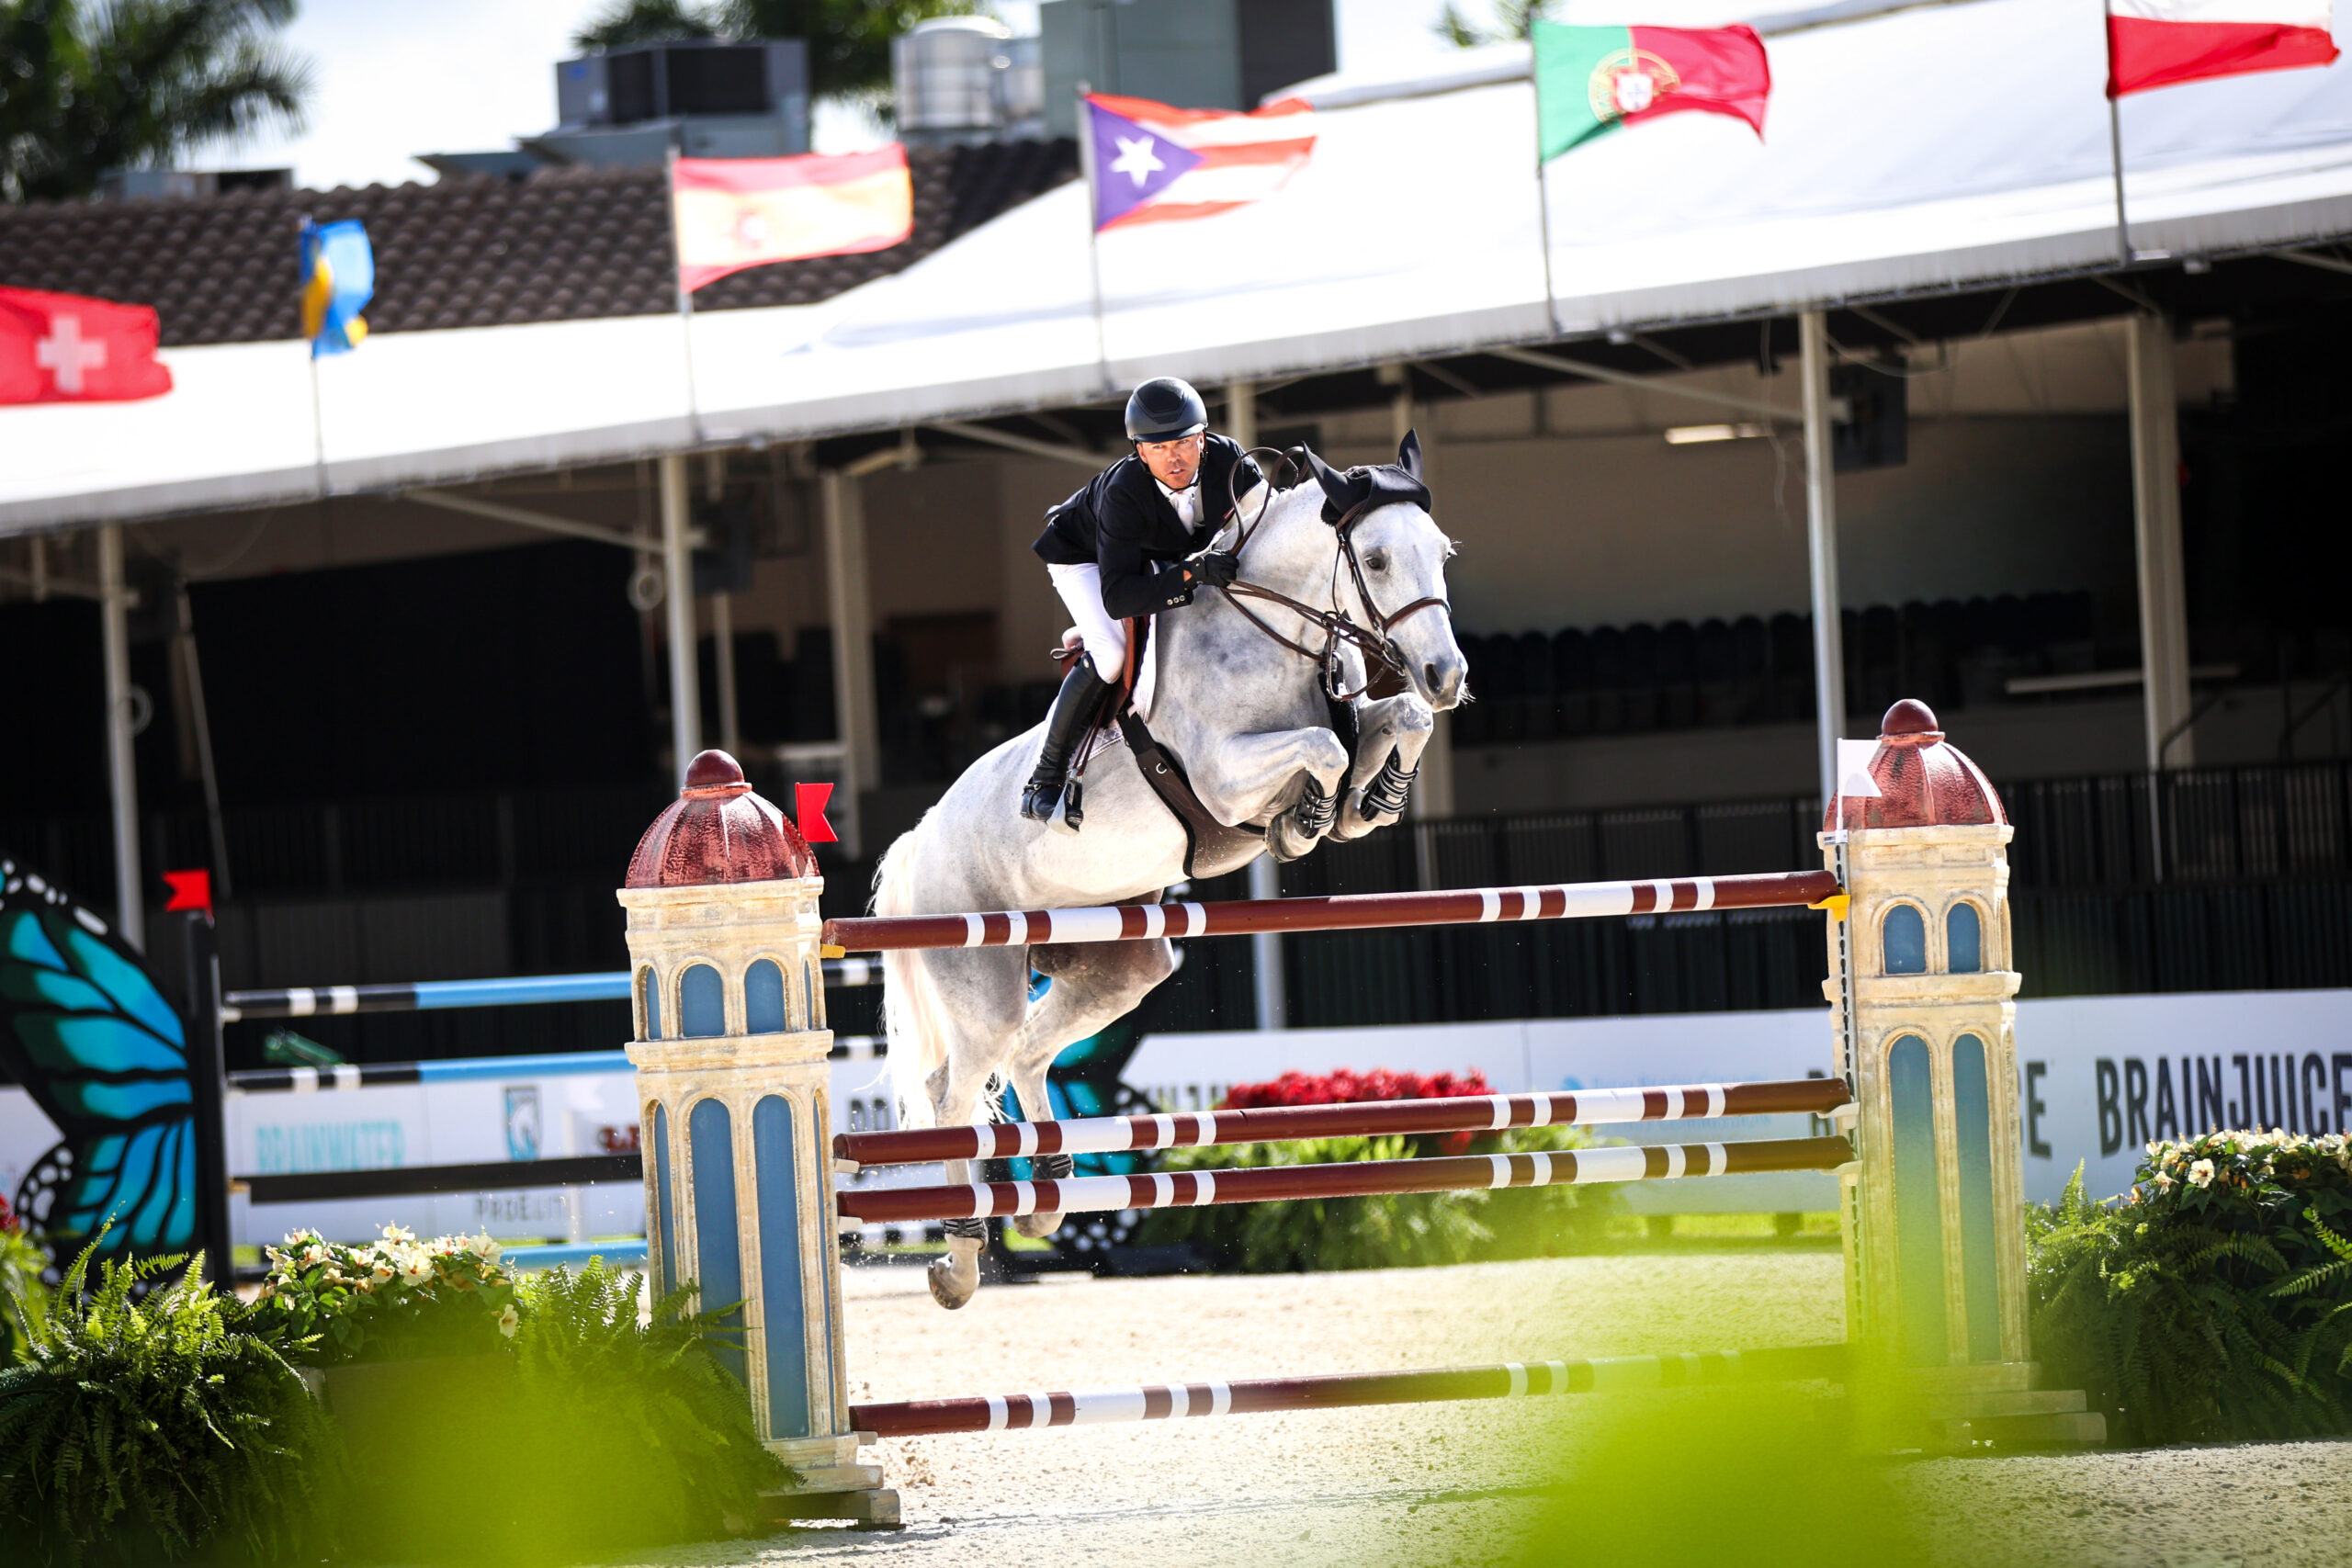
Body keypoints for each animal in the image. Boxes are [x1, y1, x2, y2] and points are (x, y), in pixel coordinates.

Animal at [873, 434, 1467, 1308]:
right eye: (1379, 559)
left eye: (1442, 552)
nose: (1446, 674)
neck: (1273, 633)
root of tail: (924, 833)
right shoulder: (1224, 779)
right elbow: (1323, 749)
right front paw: (1307, 821)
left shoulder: (1365, 714)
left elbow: (1397, 722)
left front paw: (1371, 800)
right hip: (981, 975)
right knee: (957, 1088)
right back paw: (959, 1258)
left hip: (1123, 960)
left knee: (1027, 1052)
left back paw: (1047, 1195)